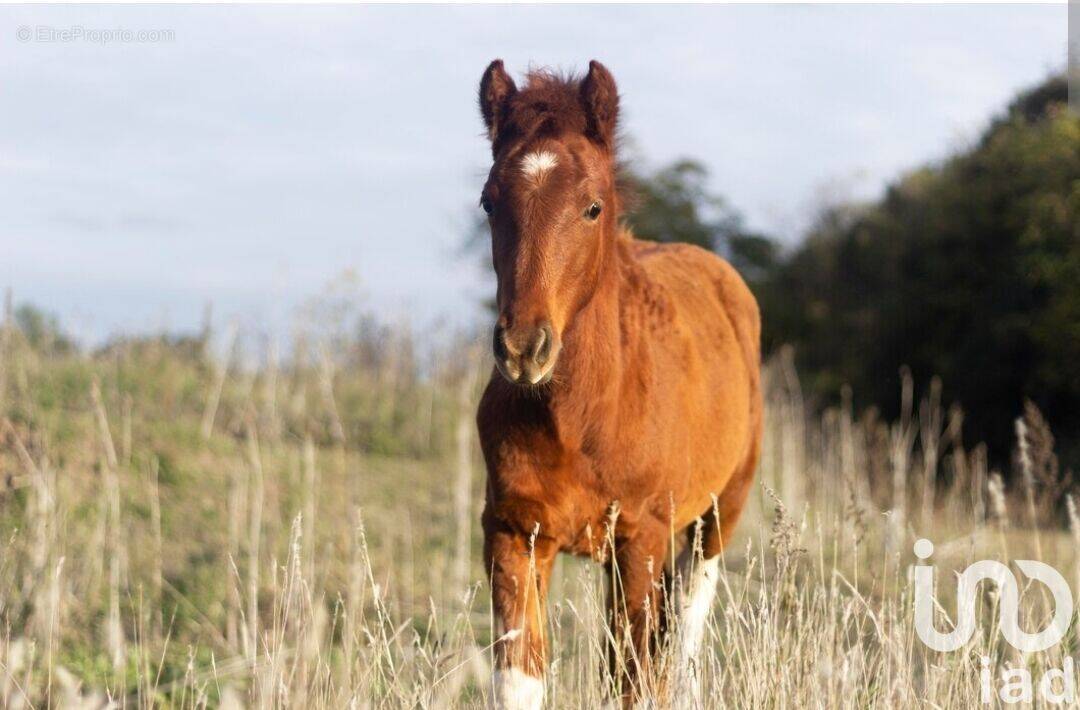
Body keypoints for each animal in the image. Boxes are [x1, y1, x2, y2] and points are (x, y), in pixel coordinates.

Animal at [477, 61, 764, 708]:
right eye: (487, 202)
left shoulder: (643, 541)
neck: (584, 414)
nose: (523, 348)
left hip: (715, 519)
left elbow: (634, 681)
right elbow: (520, 676)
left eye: (592, 207)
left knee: (684, 638)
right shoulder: (514, 532)